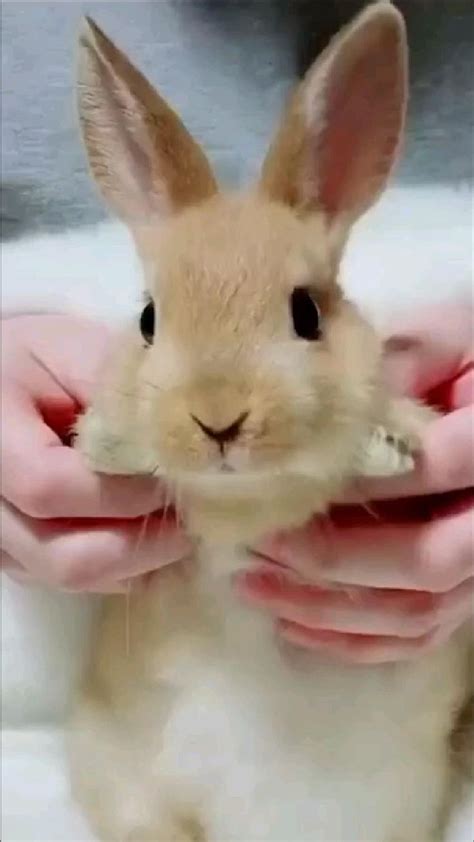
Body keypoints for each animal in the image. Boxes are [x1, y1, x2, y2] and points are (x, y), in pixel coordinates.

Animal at [69, 4, 472, 841]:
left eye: (306, 313)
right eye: (149, 319)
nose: (219, 419)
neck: (246, 505)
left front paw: (391, 444)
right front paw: (103, 442)